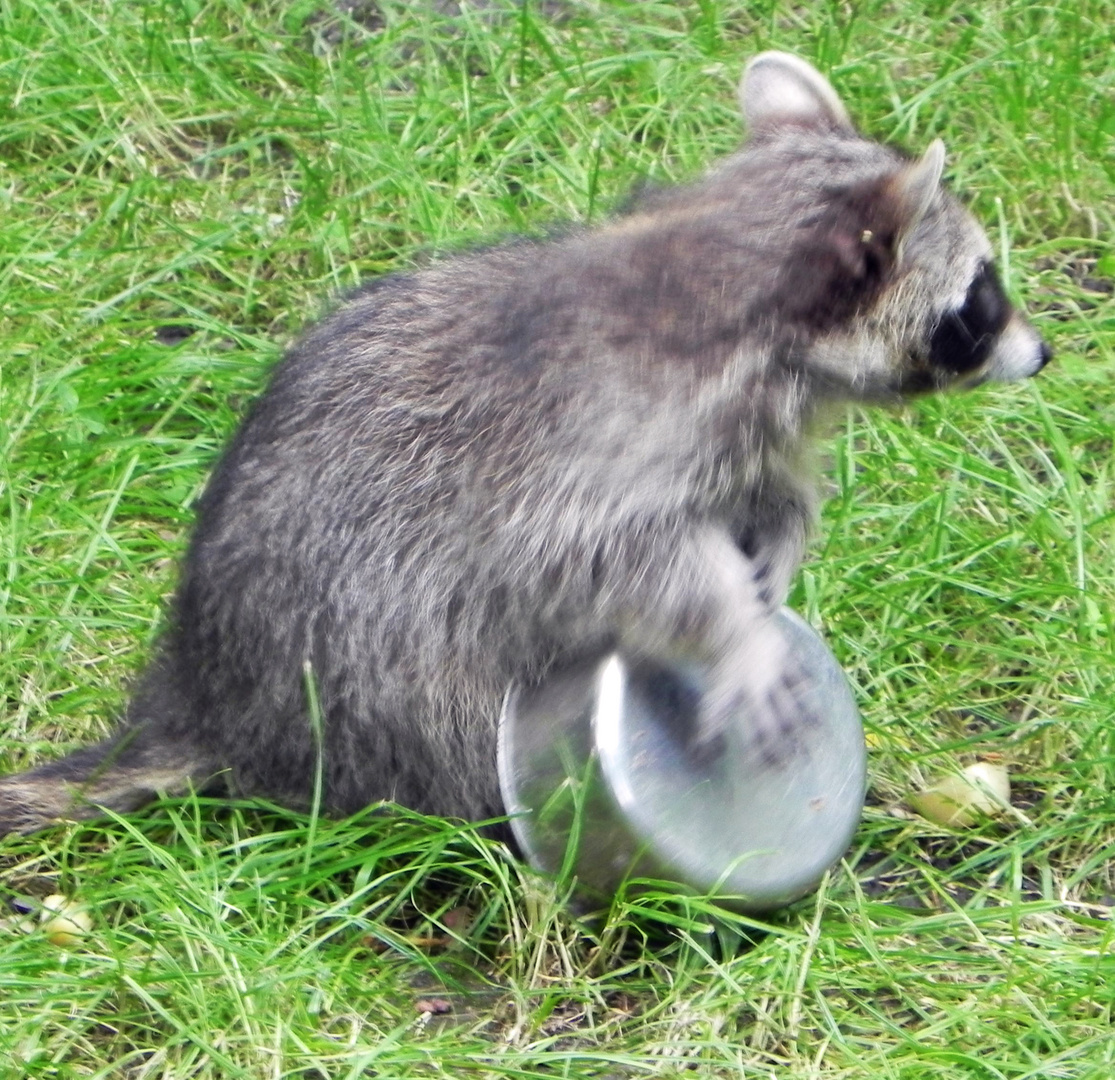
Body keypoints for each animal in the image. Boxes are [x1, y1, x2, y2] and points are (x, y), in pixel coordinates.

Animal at [0, 54, 1048, 838]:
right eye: (980, 299)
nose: (1044, 354)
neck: (729, 263)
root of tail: (203, 696)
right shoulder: (589, 458)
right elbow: (613, 560)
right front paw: (734, 628)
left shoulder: (744, 431)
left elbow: (770, 495)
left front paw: (776, 554)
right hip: (386, 679)